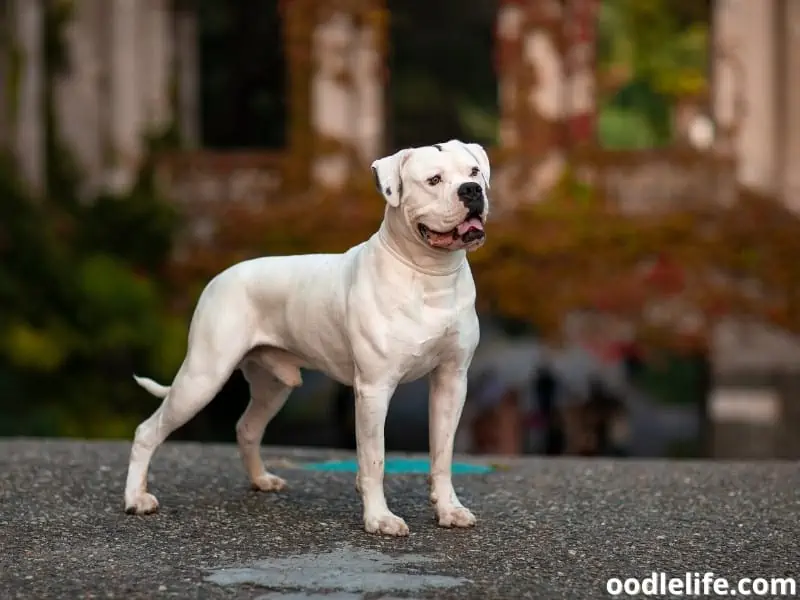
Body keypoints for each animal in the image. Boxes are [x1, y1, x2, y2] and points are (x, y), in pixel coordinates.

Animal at [124, 139, 490, 536]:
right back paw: (136, 499)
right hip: (202, 377)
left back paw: (261, 480)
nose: (472, 191)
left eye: (473, 172)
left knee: (247, 427)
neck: (430, 275)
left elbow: (443, 454)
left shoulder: (451, 381)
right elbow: (374, 459)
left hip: (273, 385)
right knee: (147, 430)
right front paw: (379, 518)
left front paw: (449, 509)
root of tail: (220, 276)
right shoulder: (374, 388)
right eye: (434, 180)